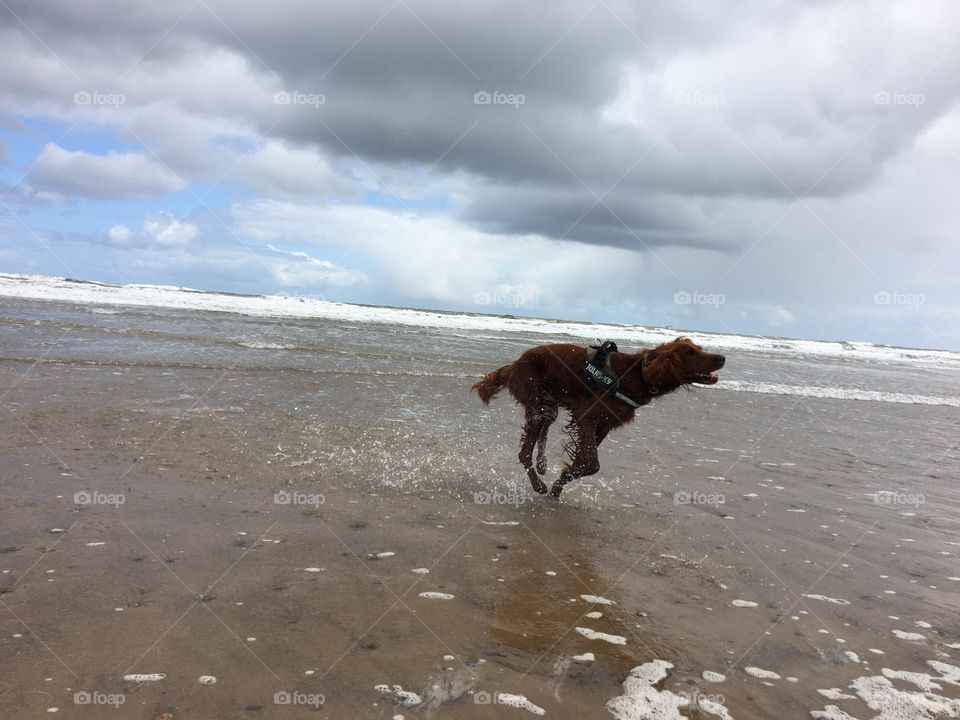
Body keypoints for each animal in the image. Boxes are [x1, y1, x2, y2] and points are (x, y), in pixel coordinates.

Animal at [468, 338, 724, 496]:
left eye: (699, 348)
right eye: (689, 352)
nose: (721, 357)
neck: (636, 375)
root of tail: (514, 365)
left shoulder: (605, 425)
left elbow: (584, 461)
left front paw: (562, 480)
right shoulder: (587, 417)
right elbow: (591, 463)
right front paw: (559, 483)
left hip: (549, 407)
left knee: (541, 434)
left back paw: (542, 464)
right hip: (538, 405)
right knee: (523, 453)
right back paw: (539, 484)